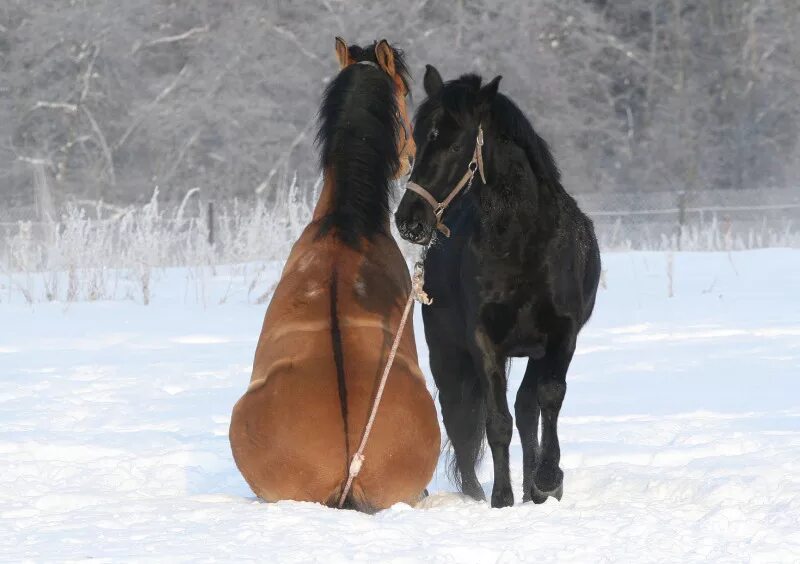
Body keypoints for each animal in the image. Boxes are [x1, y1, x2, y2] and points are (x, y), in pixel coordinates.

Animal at [396, 66, 600, 506]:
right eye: (418, 141)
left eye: (455, 144)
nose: (409, 220)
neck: (523, 242)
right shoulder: (482, 340)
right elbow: (496, 422)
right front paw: (502, 497)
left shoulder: (561, 336)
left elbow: (548, 398)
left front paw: (548, 479)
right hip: (447, 352)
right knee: (459, 416)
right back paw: (478, 493)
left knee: (527, 407)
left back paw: (535, 488)